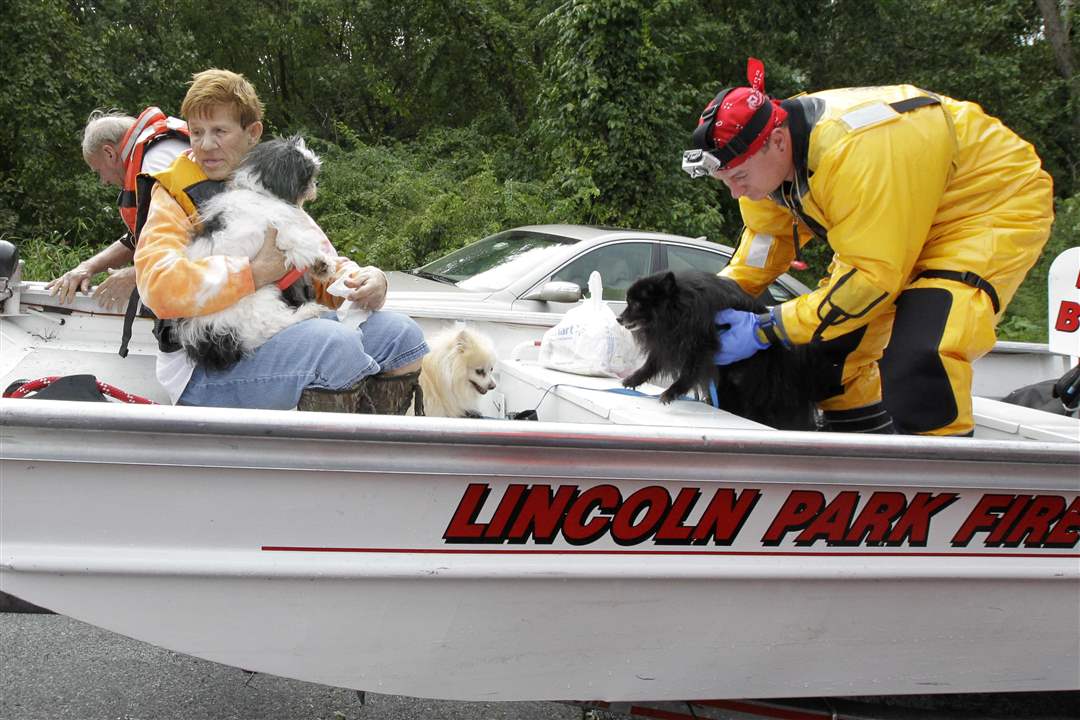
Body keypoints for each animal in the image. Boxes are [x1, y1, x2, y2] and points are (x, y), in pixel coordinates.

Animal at [174, 136, 334, 371]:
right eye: (308, 173)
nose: (317, 184)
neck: (260, 194)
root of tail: (209, 341)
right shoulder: (281, 232)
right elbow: (302, 244)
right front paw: (321, 261)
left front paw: (322, 266)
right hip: (260, 296)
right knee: (273, 325)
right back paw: (307, 312)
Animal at [617, 268, 816, 427]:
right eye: (627, 301)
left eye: (636, 304)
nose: (619, 318)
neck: (680, 310)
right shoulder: (667, 343)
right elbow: (650, 364)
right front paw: (634, 379)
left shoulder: (701, 347)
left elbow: (690, 372)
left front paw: (672, 391)